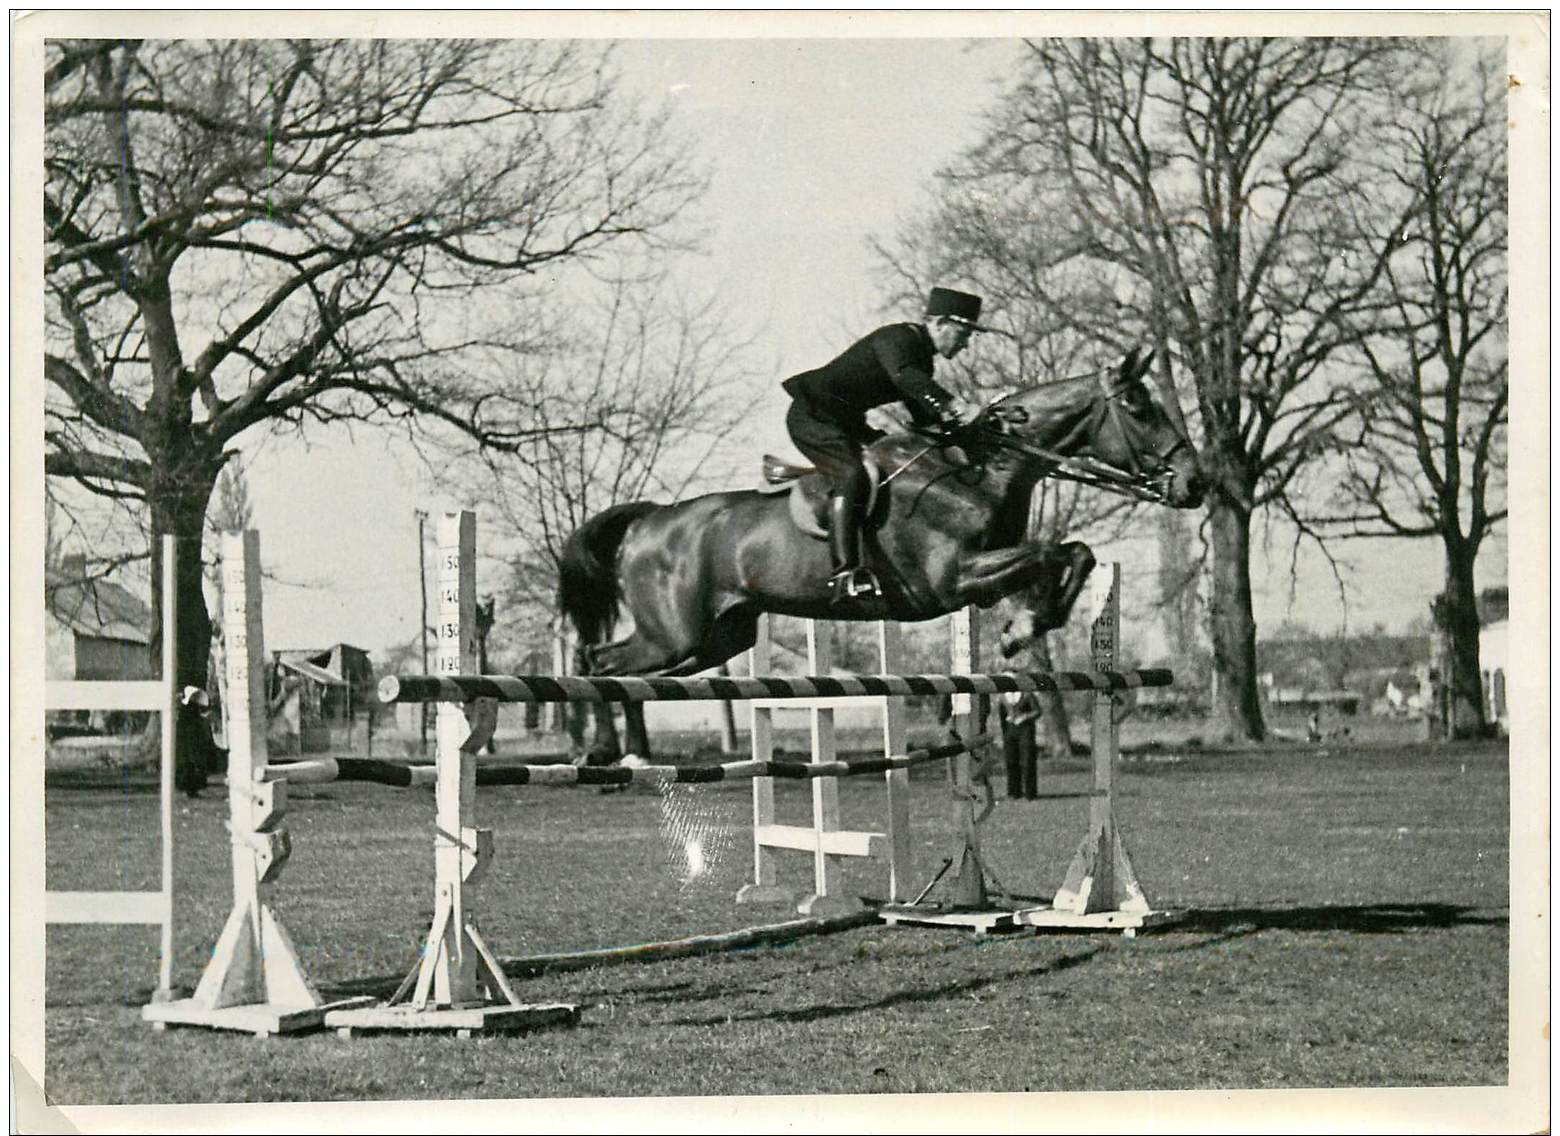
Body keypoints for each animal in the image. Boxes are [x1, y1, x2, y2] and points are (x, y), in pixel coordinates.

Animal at [561, 346, 1204, 764]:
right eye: (1139, 407)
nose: (1194, 484)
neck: (977, 470)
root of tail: (649, 521)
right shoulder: (952, 581)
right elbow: (1052, 552)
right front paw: (1022, 628)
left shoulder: (989, 568)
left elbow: (1075, 553)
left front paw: (1024, 626)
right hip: (674, 634)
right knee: (599, 663)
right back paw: (611, 753)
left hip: (717, 639)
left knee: (627, 670)